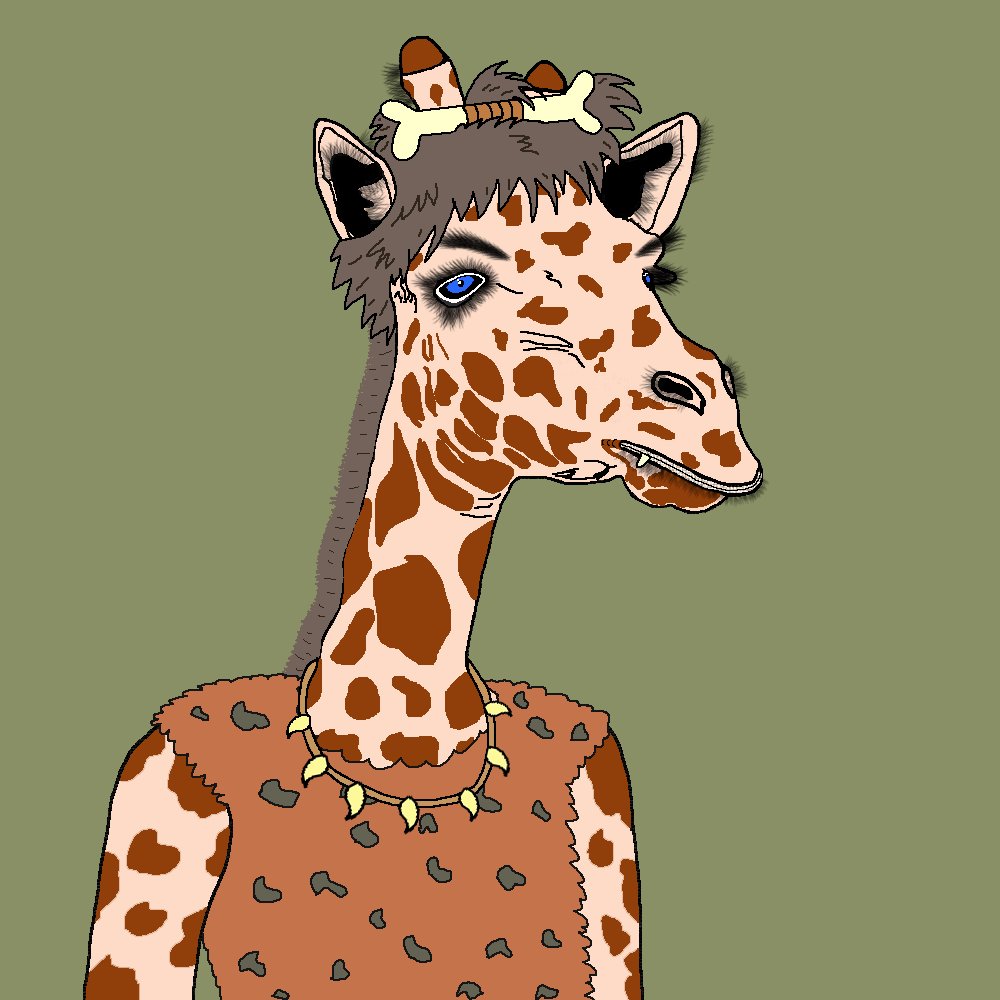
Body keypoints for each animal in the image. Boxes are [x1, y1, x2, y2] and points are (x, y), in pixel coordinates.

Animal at [85, 37, 761, 999]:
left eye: (650, 270)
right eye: (459, 281)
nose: (710, 425)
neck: (410, 741)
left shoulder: (610, 816)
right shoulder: (154, 800)